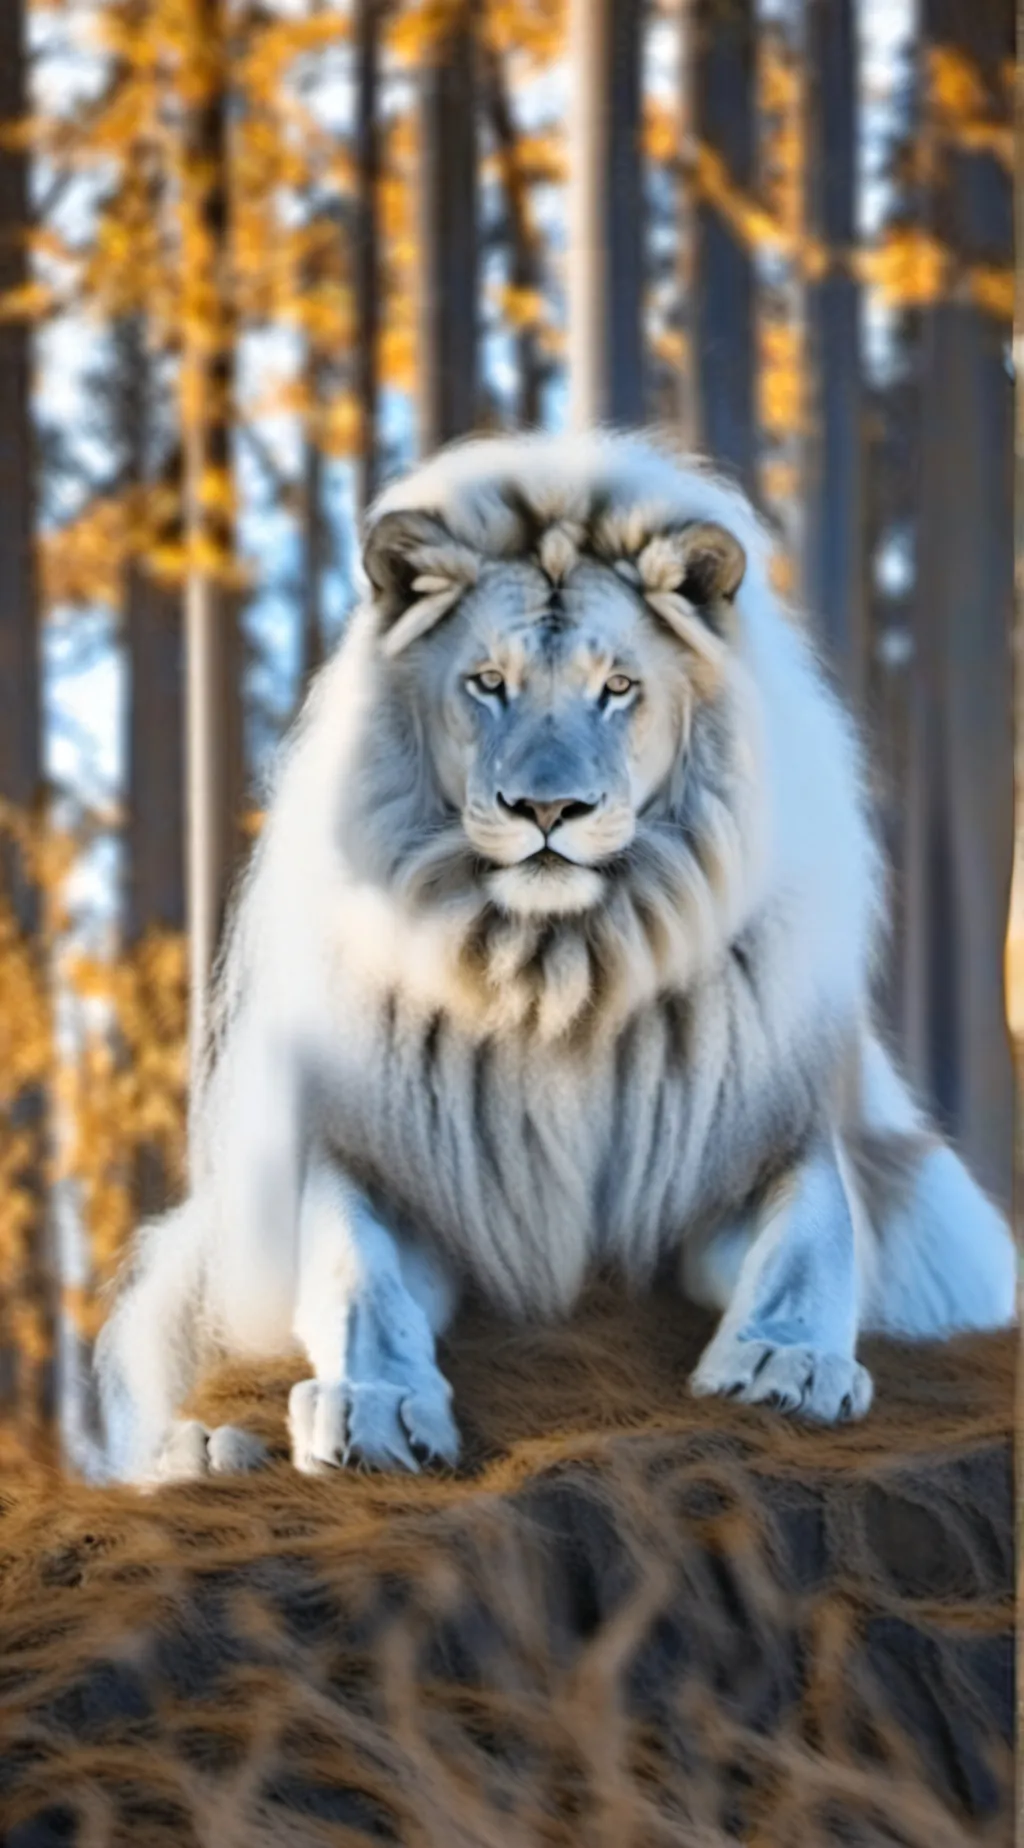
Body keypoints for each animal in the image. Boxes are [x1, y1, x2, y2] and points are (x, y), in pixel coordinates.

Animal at [97, 431, 1016, 1483]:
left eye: (616, 687)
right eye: (487, 682)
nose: (547, 809)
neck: (561, 974)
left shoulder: (764, 1140)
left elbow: (814, 1237)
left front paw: (782, 1363)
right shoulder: (382, 1164)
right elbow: (353, 1271)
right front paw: (372, 1405)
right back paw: (203, 1447)